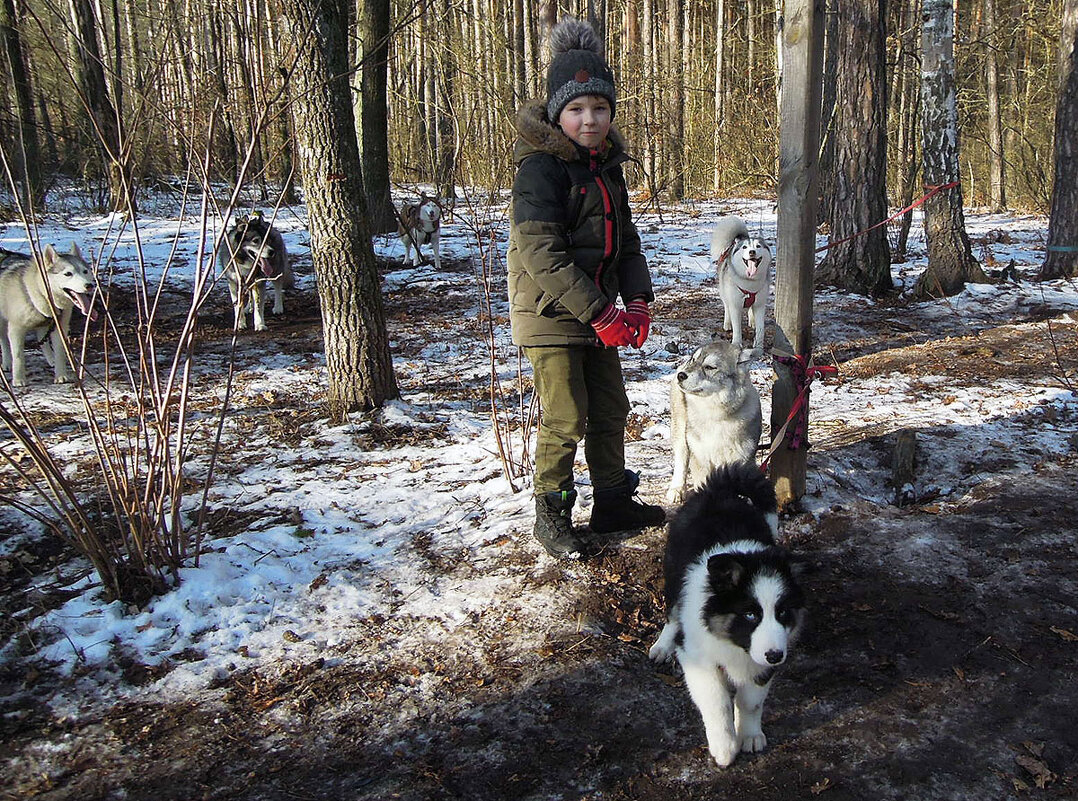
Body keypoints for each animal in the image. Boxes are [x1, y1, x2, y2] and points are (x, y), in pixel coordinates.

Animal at [646, 463, 802, 771]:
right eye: (751, 614)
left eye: (782, 613)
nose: (775, 655)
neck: (733, 642)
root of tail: (717, 489)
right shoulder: (697, 659)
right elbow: (717, 703)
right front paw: (725, 747)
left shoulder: (762, 664)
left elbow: (750, 700)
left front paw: (749, 735)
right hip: (673, 575)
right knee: (672, 614)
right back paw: (662, 645)